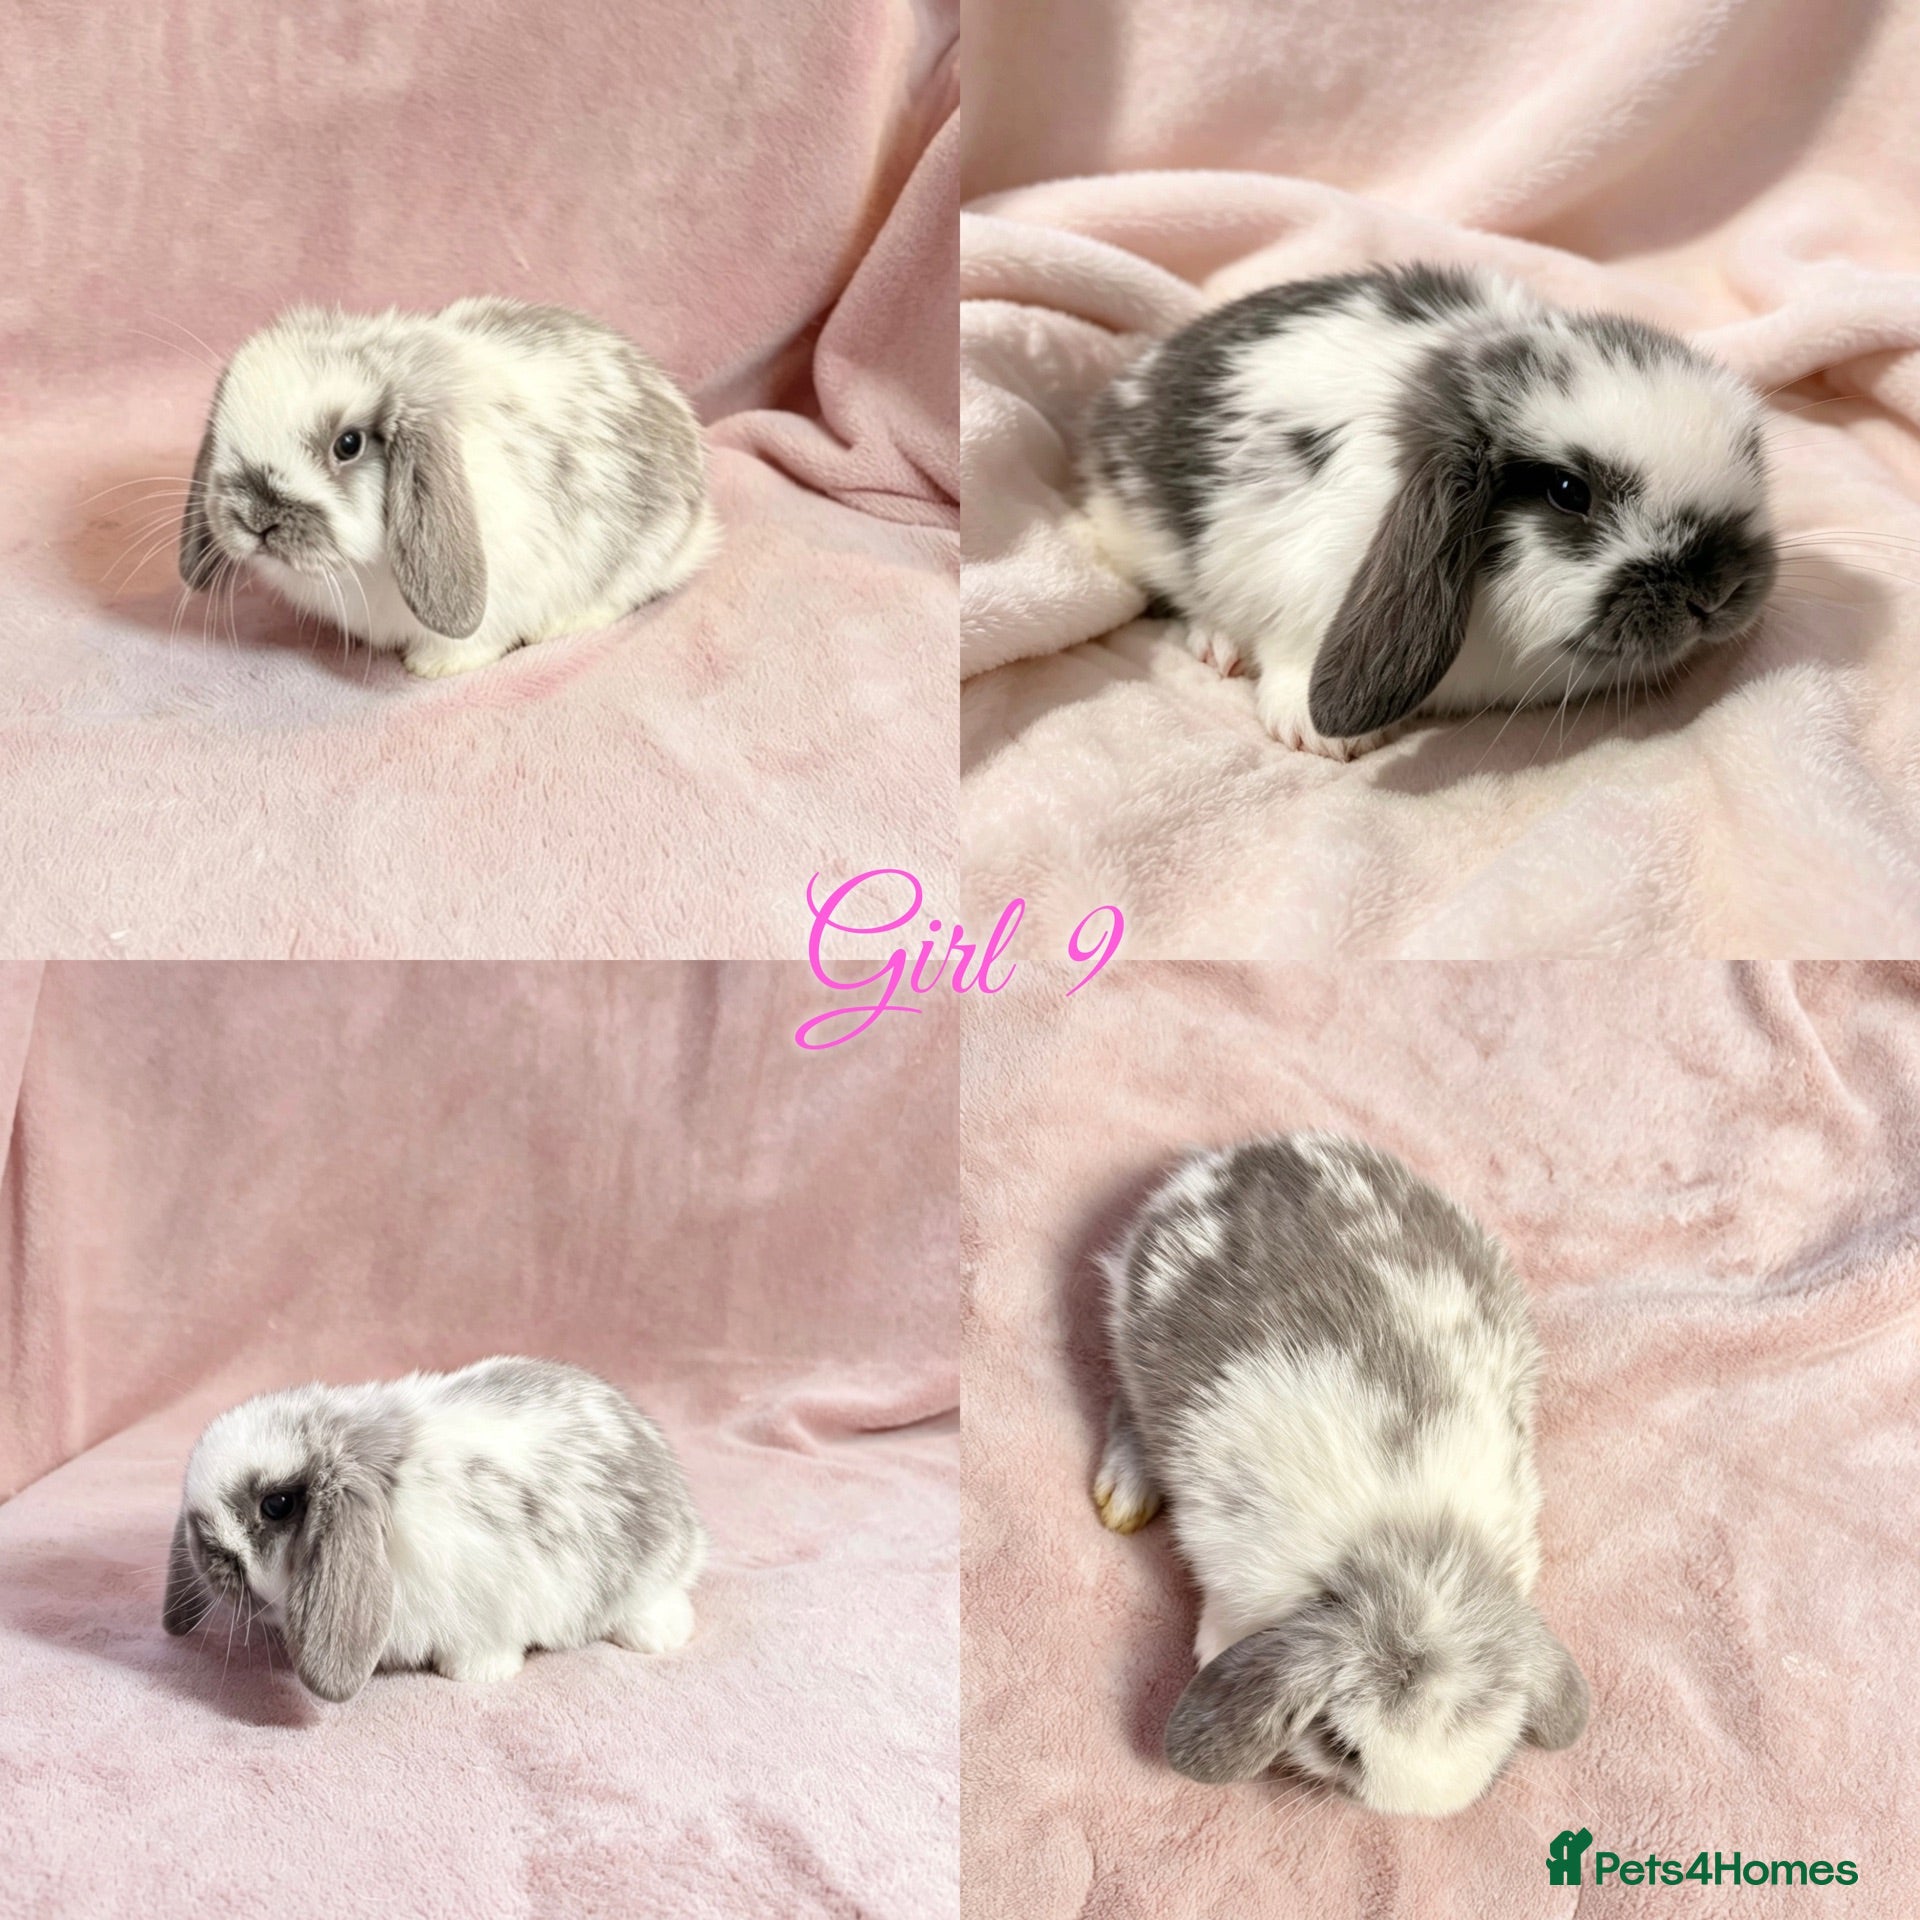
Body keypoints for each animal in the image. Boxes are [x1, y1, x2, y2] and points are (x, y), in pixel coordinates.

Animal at [1094, 1132, 1588, 1817]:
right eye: (1340, 1745)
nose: (1413, 1810)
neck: (1411, 1554)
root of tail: (1243, 1155)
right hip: (1128, 1333)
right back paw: (1123, 1497)